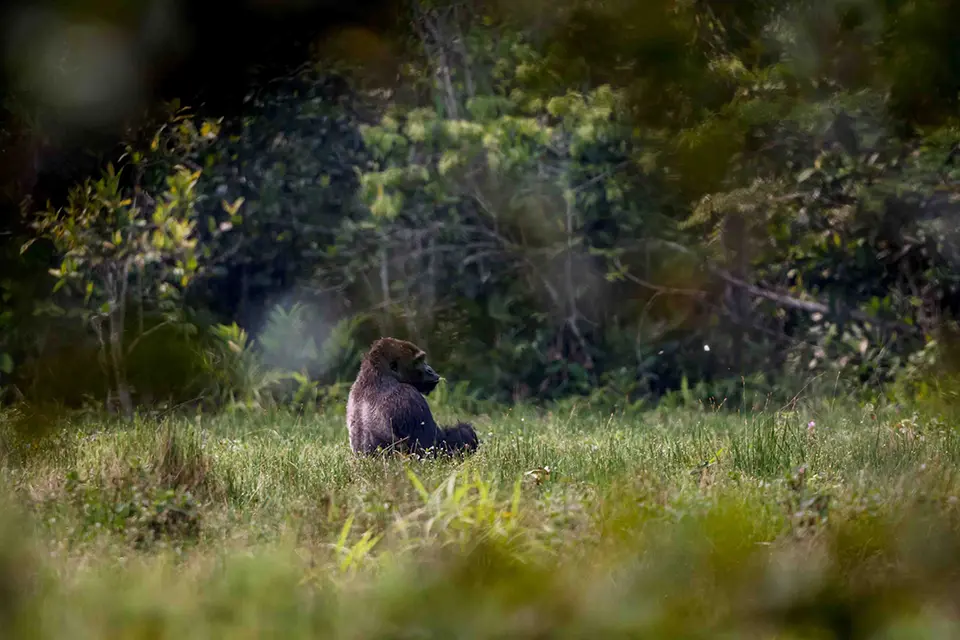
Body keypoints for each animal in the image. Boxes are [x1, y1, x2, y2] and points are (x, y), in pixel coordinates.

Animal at [346, 337, 480, 457]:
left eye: (422, 359)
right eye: (417, 361)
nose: (430, 370)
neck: (377, 375)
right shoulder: (408, 396)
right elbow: (434, 448)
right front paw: (467, 432)